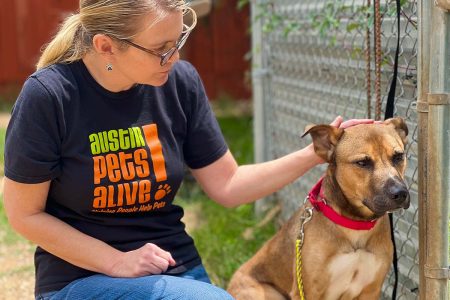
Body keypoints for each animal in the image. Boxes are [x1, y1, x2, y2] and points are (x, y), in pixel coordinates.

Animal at [227, 118, 410, 300]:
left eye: (398, 156)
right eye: (362, 163)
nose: (400, 193)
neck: (355, 225)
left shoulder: (370, 290)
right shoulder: (308, 290)